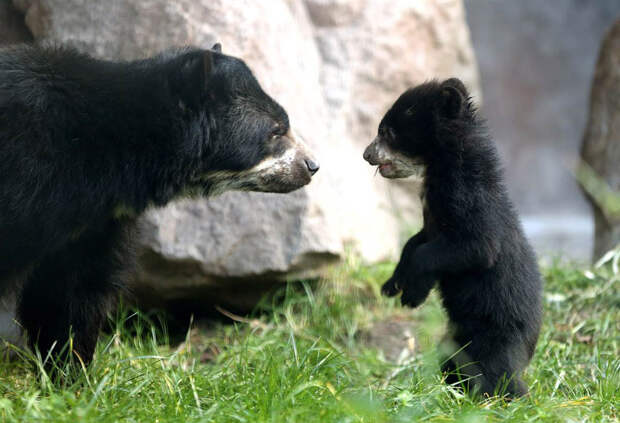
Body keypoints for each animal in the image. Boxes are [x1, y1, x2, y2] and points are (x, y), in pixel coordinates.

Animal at [1, 44, 320, 368]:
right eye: (275, 131)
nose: (312, 166)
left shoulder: (93, 225)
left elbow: (71, 293)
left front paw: (69, 371)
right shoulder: (26, 177)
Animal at [366, 78, 540, 398]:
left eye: (388, 132)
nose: (366, 154)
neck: (441, 167)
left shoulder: (467, 199)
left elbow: (474, 247)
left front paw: (412, 295)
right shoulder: (431, 219)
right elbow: (413, 243)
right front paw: (392, 284)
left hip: (495, 336)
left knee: (497, 375)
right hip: (455, 339)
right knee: (453, 362)